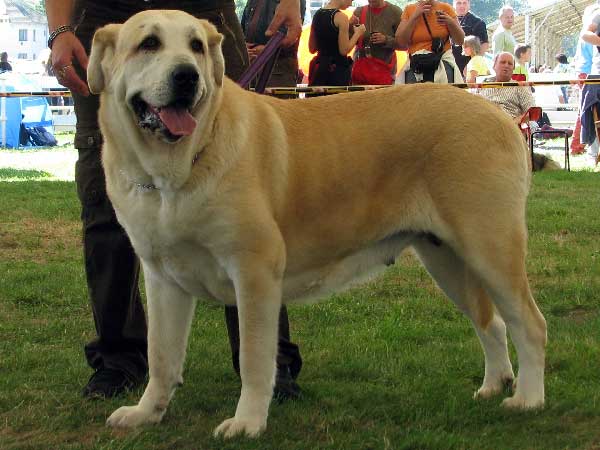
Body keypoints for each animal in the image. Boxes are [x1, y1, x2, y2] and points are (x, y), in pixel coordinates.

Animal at [88, 9, 548, 440]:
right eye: (148, 44)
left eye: (197, 46)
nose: (186, 75)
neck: (175, 173)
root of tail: (497, 114)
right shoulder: (163, 278)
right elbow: (162, 356)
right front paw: (146, 413)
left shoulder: (254, 273)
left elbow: (255, 359)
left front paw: (247, 423)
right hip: (446, 258)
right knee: (491, 322)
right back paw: (493, 386)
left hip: (490, 246)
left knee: (530, 323)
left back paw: (527, 399)